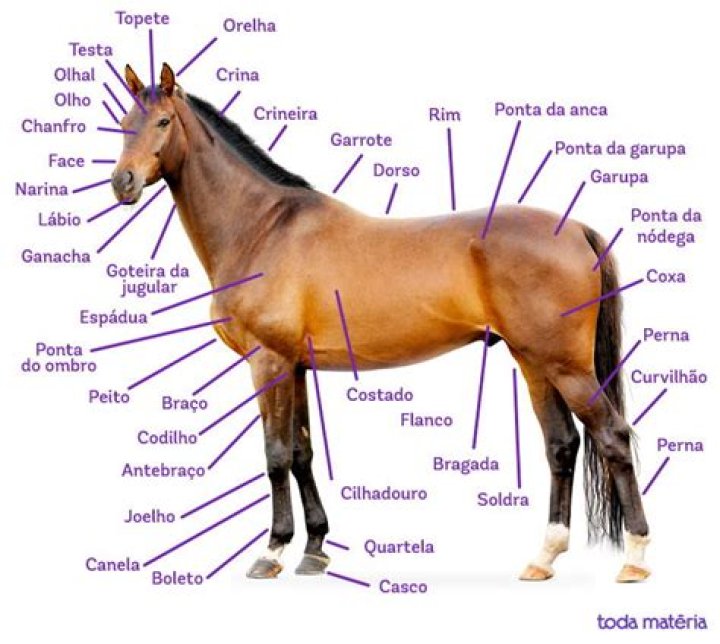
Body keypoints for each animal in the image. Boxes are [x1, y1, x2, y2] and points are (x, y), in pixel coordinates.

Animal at [109, 63, 651, 583]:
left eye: (163, 121)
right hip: (534, 361)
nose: (123, 183)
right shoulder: (297, 366)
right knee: (562, 445)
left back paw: (635, 559)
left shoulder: (269, 362)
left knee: (613, 437)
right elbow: (303, 453)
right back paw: (543, 558)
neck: (261, 227)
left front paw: (272, 552)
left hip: (566, 367)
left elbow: (276, 454)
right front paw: (314, 550)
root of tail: (576, 229)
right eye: (124, 122)